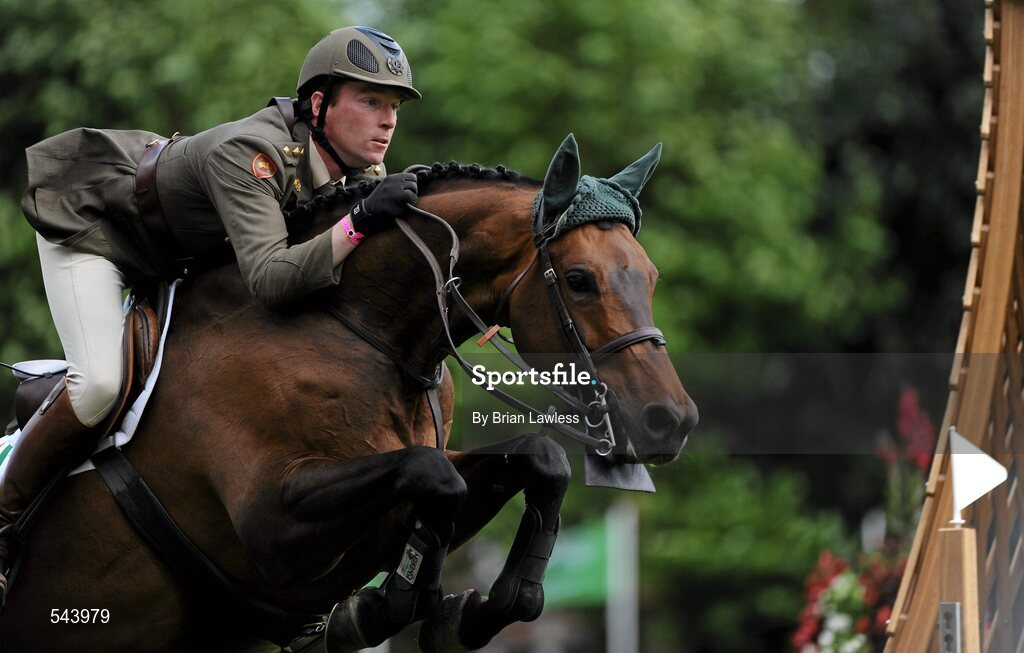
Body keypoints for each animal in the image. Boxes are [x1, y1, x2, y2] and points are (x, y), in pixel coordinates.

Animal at [0, 135, 697, 652]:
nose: (671, 421)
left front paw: (474, 611)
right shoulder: (272, 527)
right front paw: (389, 606)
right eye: (579, 279)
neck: (360, 331)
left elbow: (536, 461)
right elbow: (435, 475)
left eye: (651, 275)